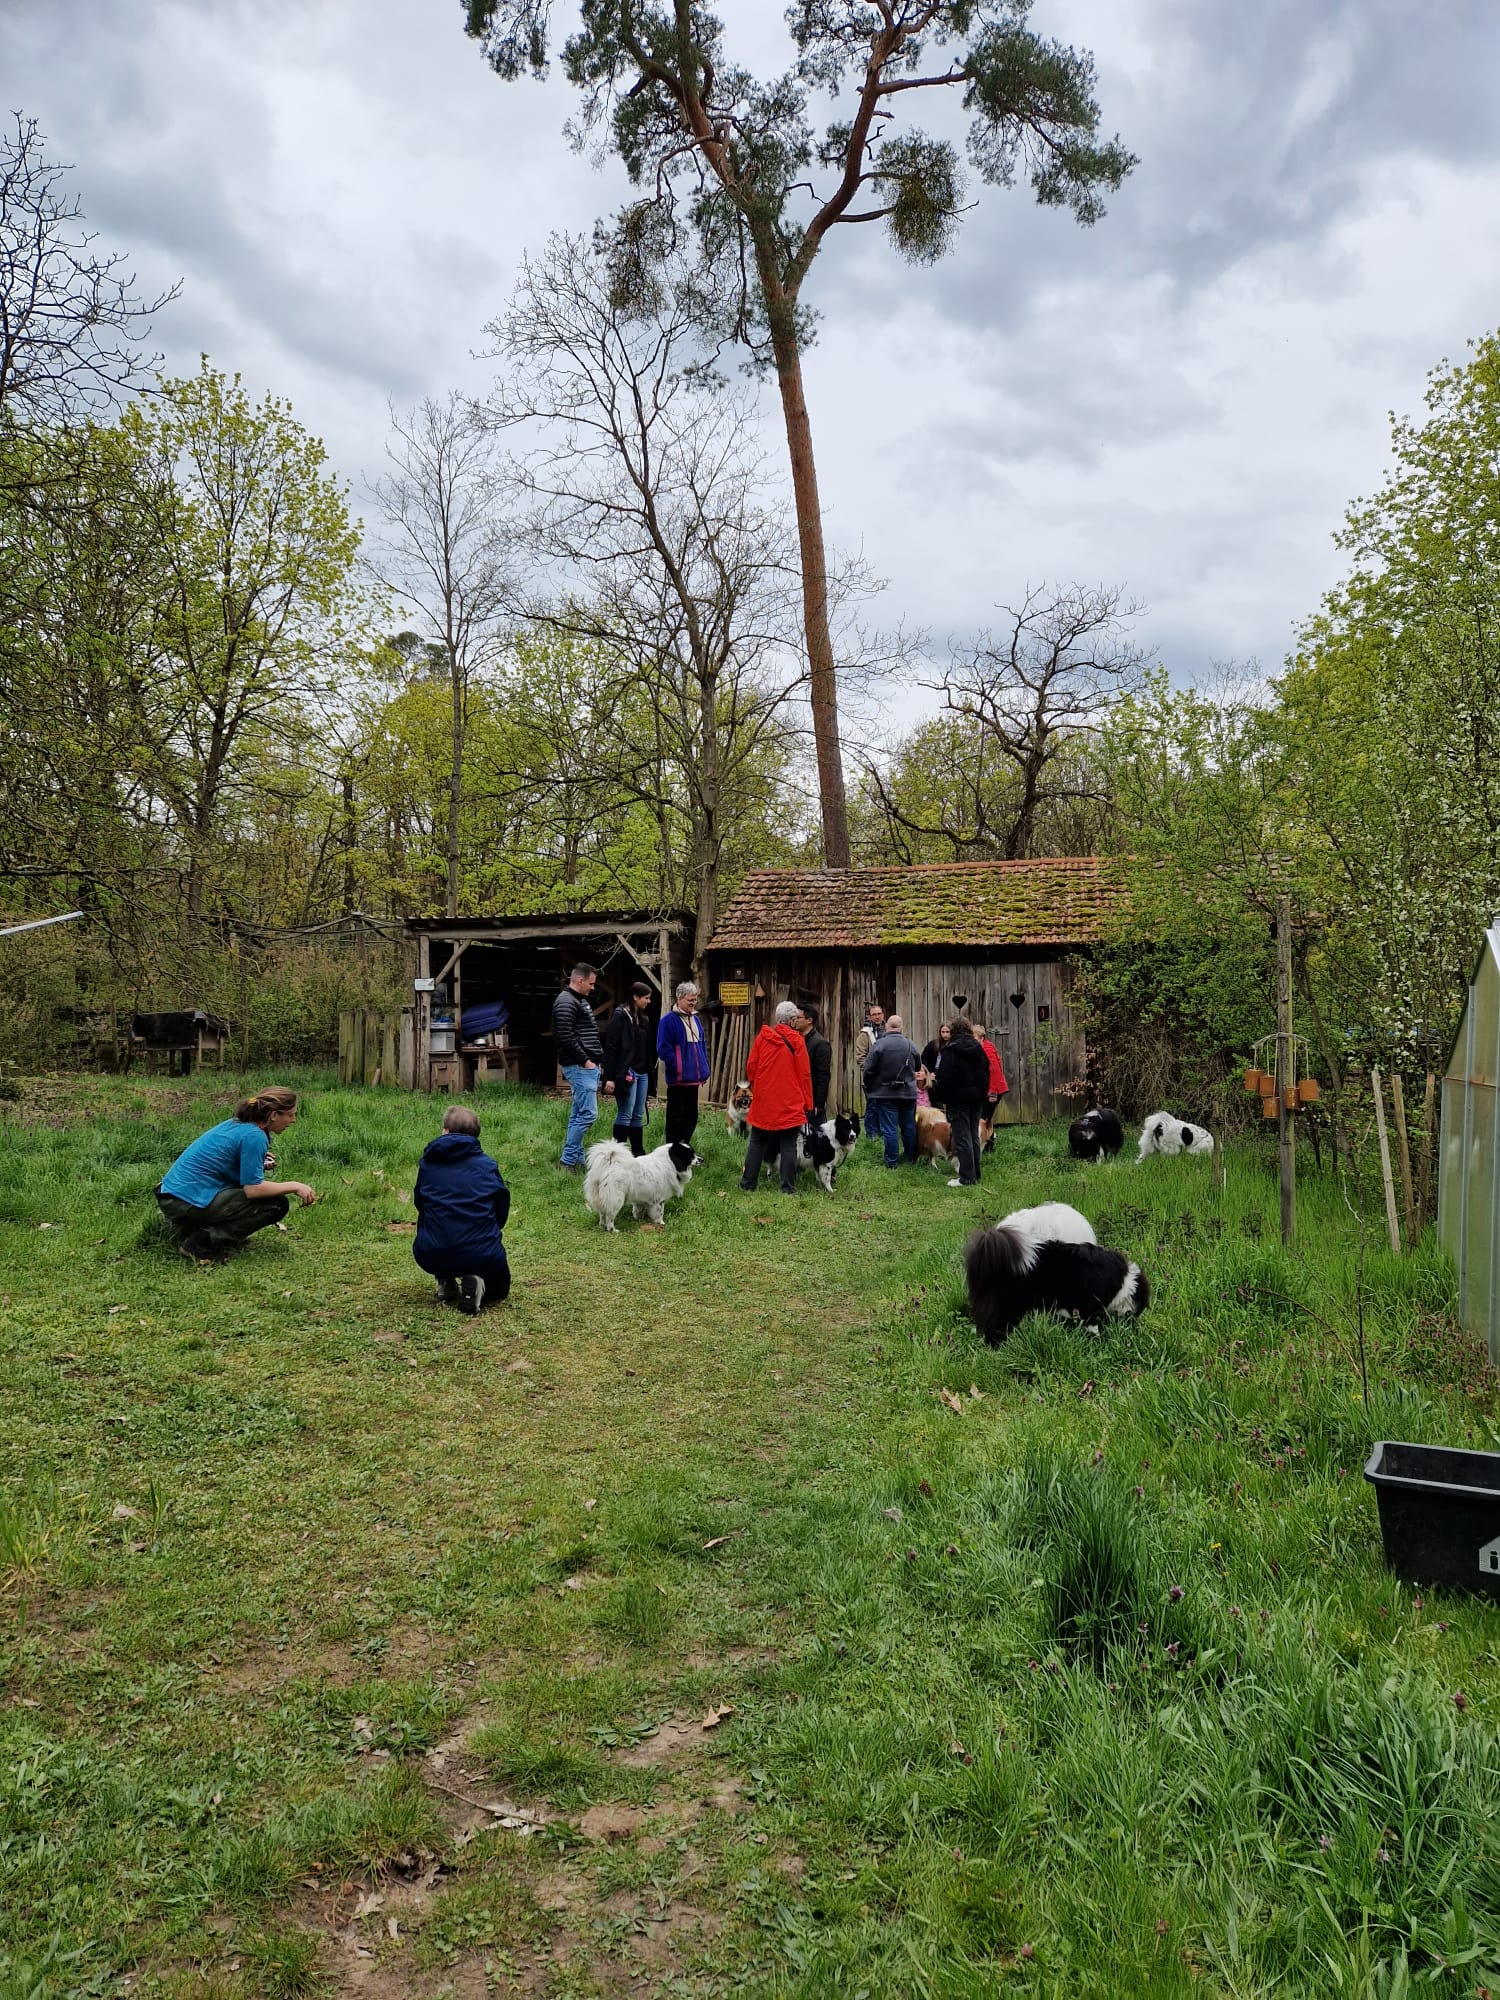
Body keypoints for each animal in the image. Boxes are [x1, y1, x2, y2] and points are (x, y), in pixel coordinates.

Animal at [964, 1200, 1152, 1344]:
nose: (1134, 1323)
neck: (1124, 1283)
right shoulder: (1088, 1304)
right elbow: (1092, 1325)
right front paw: (1097, 1339)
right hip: (1008, 1304)